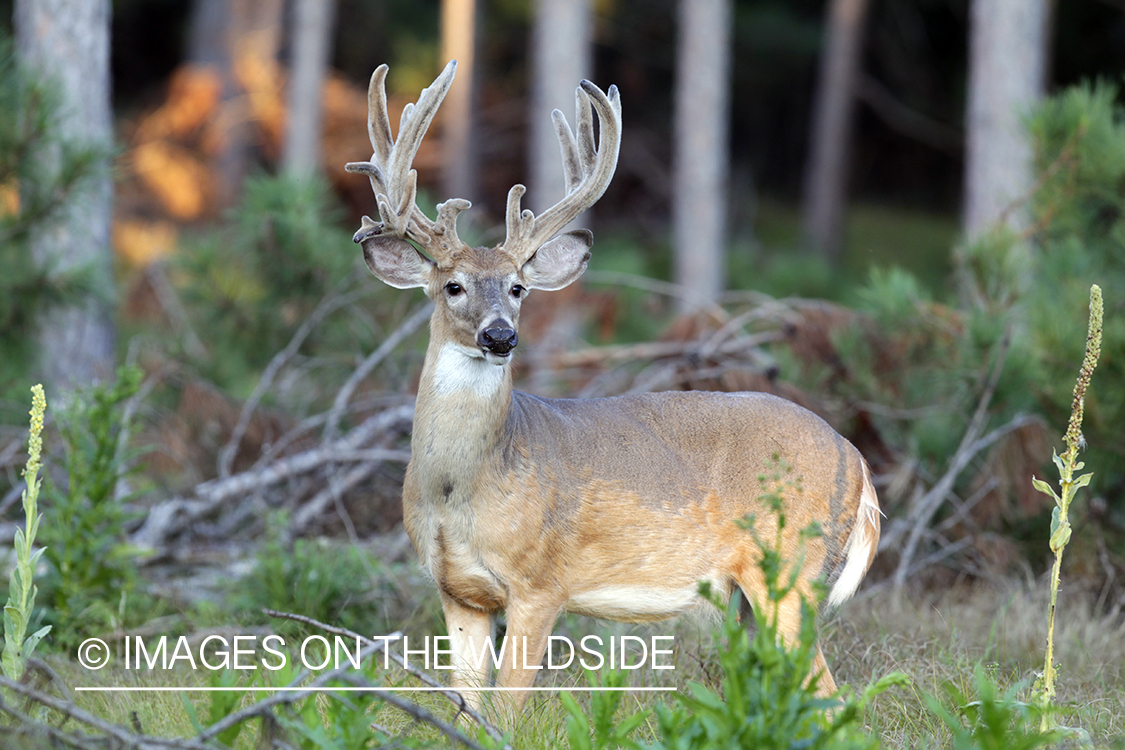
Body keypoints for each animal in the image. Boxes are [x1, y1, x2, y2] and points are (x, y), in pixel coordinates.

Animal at [342, 61, 877, 715]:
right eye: (454, 286)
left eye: (518, 287)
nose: (500, 336)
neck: (460, 489)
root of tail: (857, 459)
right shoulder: (457, 591)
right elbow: (467, 708)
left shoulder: (541, 583)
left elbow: (505, 713)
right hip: (750, 597)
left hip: (789, 569)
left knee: (831, 693)